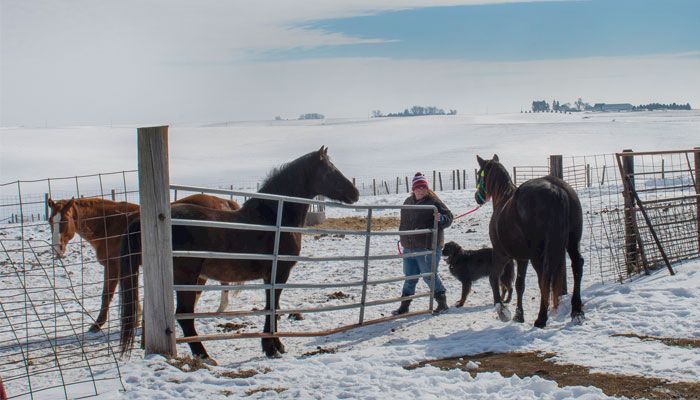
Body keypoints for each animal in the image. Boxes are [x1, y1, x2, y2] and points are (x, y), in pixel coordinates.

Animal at [48, 193, 241, 332]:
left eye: (64, 220)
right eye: (50, 221)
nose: (57, 249)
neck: (110, 224)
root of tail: (224, 202)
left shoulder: (113, 266)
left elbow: (107, 295)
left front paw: (97, 325)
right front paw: (137, 319)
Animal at [119, 147, 358, 362]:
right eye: (330, 170)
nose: (355, 193)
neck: (274, 217)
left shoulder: (270, 276)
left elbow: (272, 307)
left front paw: (275, 345)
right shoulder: (279, 273)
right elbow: (272, 307)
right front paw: (271, 347)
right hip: (187, 278)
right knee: (184, 316)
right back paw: (205, 356)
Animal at [476, 155, 584, 326]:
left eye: (479, 174)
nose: (477, 197)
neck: (503, 200)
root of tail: (556, 190)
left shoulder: (501, 254)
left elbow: (494, 278)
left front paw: (503, 311)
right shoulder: (522, 258)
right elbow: (520, 284)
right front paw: (518, 315)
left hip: (537, 254)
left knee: (544, 277)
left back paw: (541, 318)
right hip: (572, 242)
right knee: (577, 266)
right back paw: (577, 311)